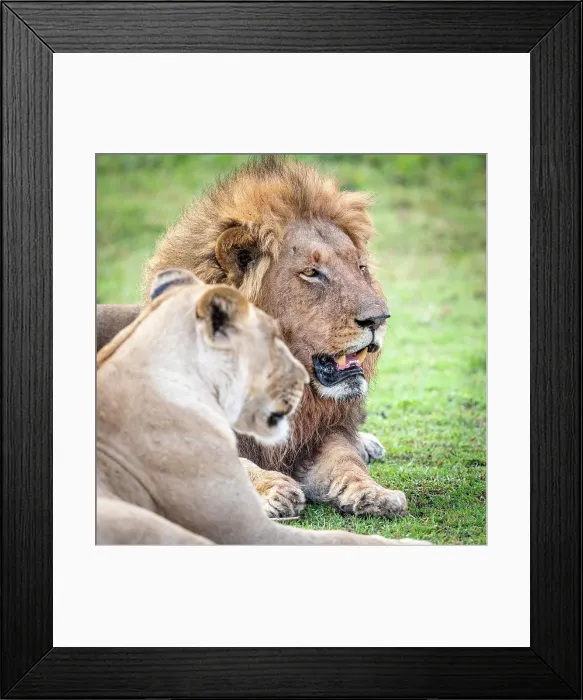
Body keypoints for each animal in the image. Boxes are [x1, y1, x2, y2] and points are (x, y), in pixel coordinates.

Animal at [97, 156, 407, 520]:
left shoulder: (313, 438)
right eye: (310, 273)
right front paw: (274, 489)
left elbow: (346, 461)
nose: (379, 319)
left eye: (360, 268)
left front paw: (375, 493)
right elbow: (238, 464)